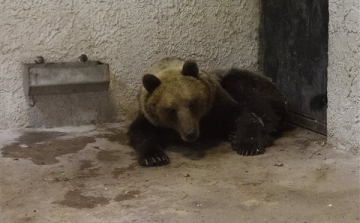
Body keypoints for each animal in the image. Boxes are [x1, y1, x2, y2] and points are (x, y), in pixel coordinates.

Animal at [128, 57, 288, 166]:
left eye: (192, 104)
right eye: (171, 110)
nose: (190, 133)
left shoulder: (216, 105)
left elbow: (243, 114)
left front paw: (247, 144)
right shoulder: (149, 118)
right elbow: (140, 133)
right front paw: (154, 157)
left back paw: (238, 136)